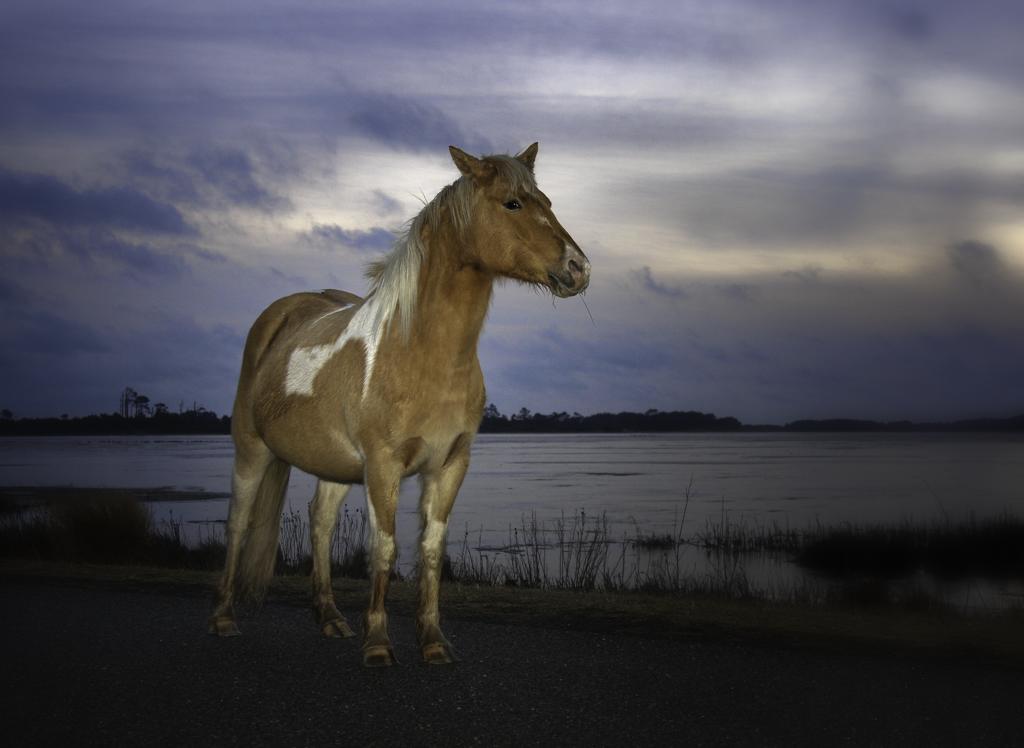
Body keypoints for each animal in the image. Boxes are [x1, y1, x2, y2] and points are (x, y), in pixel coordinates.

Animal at [208, 142, 591, 666]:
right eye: (513, 203)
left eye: (547, 201)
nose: (578, 268)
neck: (420, 350)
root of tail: (280, 313)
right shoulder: (383, 467)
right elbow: (384, 551)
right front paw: (378, 644)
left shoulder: (449, 465)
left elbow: (430, 550)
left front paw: (432, 641)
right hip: (252, 450)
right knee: (237, 523)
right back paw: (224, 618)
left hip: (334, 466)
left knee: (320, 523)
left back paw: (330, 618)